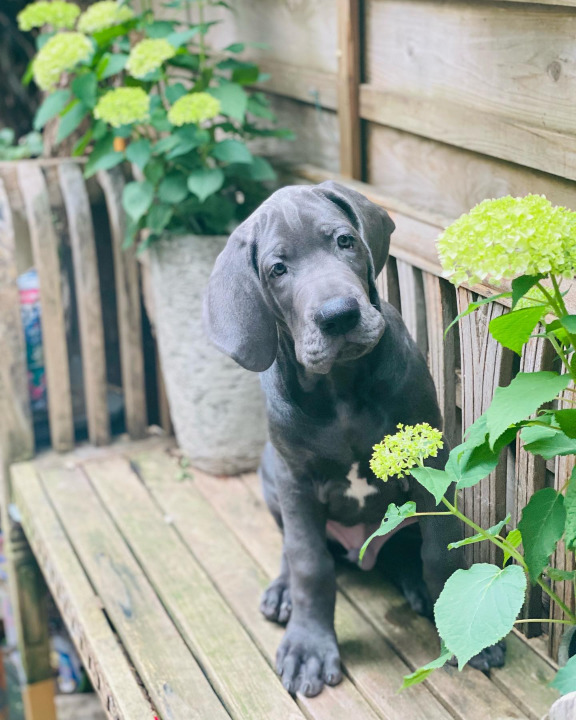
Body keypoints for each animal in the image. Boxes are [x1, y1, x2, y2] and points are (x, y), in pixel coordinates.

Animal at [204, 181, 504, 696]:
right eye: (277, 269)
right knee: (294, 548)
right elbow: (309, 563)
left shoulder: (432, 461)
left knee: (404, 550)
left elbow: (438, 549)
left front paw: (463, 620)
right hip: (270, 475)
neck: (340, 388)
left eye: (344, 241)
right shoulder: (295, 481)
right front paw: (308, 646)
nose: (338, 316)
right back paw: (282, 592)